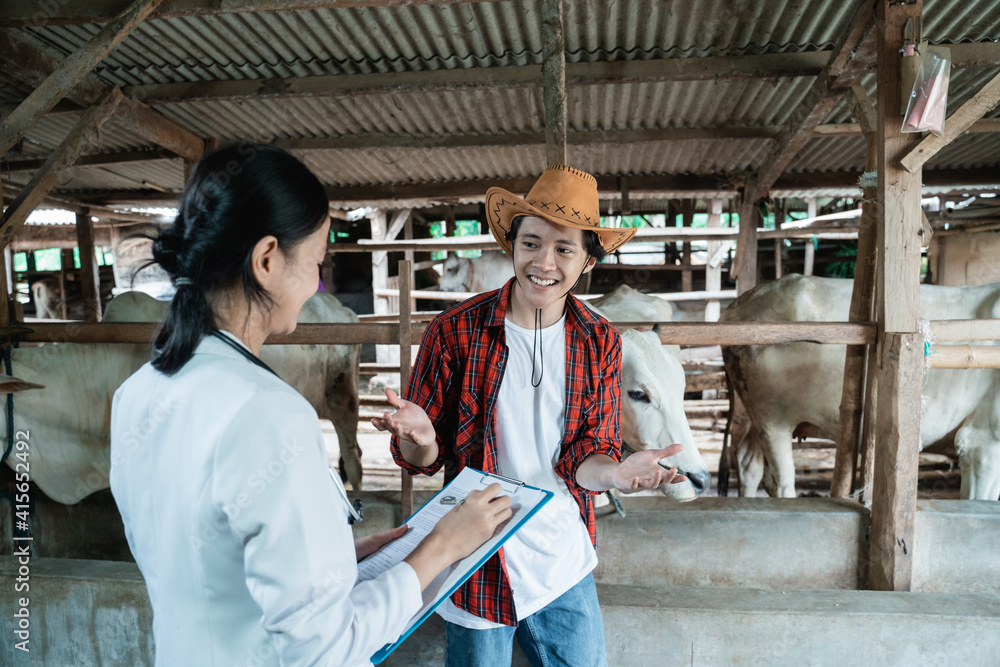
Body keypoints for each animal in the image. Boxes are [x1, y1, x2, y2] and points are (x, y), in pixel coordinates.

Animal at [724, 276, 1000, 500]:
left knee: (749, 463)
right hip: (772, 419)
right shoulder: (982, 442)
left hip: (757, 417)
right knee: (781, 482)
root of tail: (740, 303)